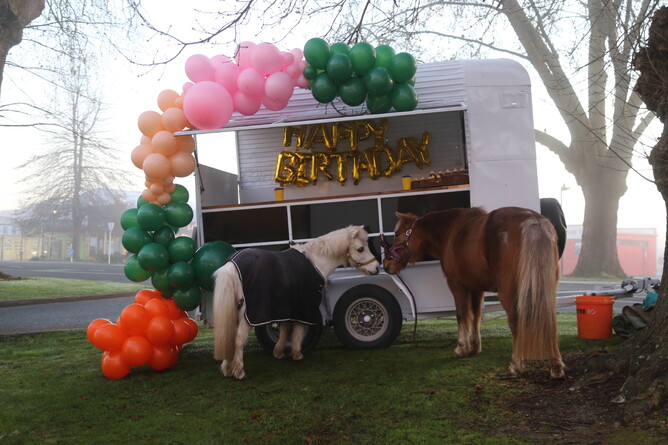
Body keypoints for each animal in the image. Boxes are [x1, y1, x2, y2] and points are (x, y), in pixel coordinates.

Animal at [213, 225, 380, 380]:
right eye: (360, 249)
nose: (377, 268)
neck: (315, 262)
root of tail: (231, 266)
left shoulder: (286, 307)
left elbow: (285, 329)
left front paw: (279, 352)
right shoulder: (303, 308)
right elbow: (298, 329)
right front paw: (297, 354)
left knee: (228, 337)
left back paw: (227, 369)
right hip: (249, 315)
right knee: (238, 339)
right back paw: (239, 371)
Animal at [381, 207, 565, 379]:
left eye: (396, 234)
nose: (386, 263)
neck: (451, 230)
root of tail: (532, 221)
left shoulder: (457, 285)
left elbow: (462, 314)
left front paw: (461, 348)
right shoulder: (476, 288)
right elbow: (476, 315)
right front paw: (475, 347)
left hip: (508, 292)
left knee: (515, 321)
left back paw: (516, 365)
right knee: (550, 319)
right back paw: (556, 366)